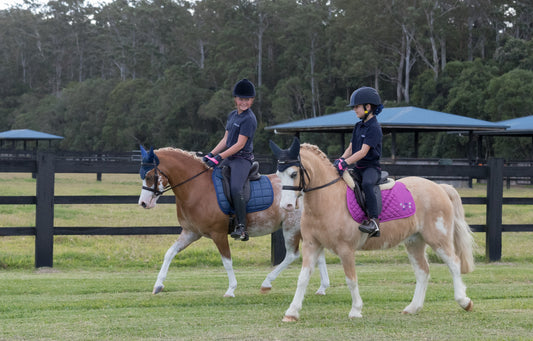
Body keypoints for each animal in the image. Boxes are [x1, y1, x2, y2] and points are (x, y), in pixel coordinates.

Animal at [137, 146, 328, 298]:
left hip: (291, 227)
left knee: (292, 255)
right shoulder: (191, 232)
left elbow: (227, 261)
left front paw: (231, 289)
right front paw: (158, 285)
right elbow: (169, 253)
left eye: (149, 176)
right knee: (317, 256)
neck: (197, 187)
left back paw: (267, 282)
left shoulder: (218, 234)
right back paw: (322, 287)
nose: (143, 203)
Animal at [270, 138, 474, 322]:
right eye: (278, 175)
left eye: (294, 173)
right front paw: (292, 312)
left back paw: (464, 301)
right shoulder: (312, 245)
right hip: (414, 241)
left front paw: (355, 310)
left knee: (454, 263)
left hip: (438, 238)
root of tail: (439, 187)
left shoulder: (346, 249)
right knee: (423, 271)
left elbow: (351, 280)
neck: (327, 198)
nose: (286, 206)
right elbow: (302, 278)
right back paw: (413, 308)